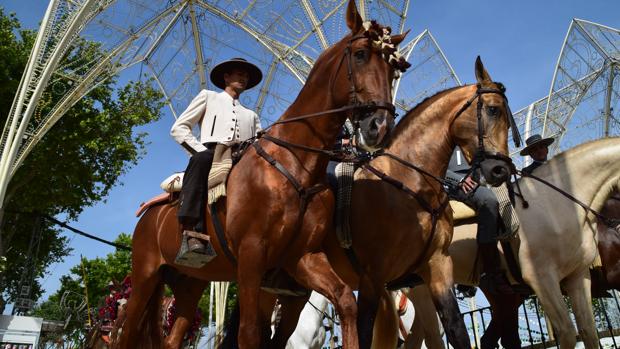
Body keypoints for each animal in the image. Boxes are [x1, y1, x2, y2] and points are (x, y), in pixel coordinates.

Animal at [116, 1, 410, 346]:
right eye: (361, 54)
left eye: (396, 69)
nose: (380, 126)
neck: (295, 164)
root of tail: (151, 211)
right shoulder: (251, 256)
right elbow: (249, 333)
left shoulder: (302, 258)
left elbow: (346, 302)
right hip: (145, 277)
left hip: (190, 283)